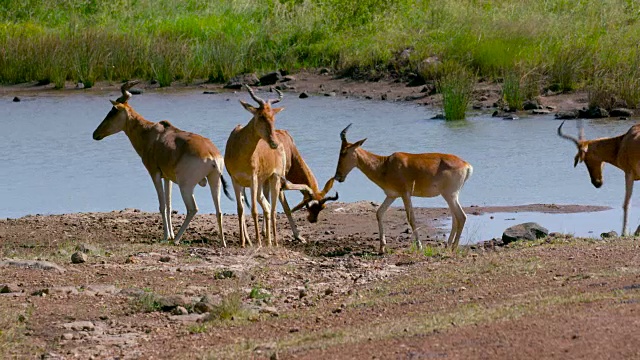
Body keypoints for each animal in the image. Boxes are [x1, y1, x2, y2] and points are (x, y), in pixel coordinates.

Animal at [90, 80, 230, 246]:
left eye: (113, 111)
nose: (95, 134)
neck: (152, 133)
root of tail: (212, 154)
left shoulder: (155, 173)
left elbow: (162, 205)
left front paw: (166, 236)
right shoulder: (167, 178)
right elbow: (169, 205)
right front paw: (169, 234)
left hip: (186, 185)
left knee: (193, 209)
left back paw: (176, 239)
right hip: (214, 181)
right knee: (219, 210)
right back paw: (222, 242)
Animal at [222, 85, 288, 248]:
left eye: (273, 116)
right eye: (261, 116)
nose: (274, 143)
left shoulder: (253, 179)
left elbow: (254, 210)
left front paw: (257, 241)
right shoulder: (235, 180)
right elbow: (240, 209)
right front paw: (243, 242)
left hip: (274, 179)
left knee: (273, 209)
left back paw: (274, 242)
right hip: (262, 184)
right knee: (267, 206)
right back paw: (268, 241)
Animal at [332, 124, 472, 253]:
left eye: (343, 152)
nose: (338, 176)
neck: (386, 164)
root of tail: (466, 165)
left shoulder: (405, 194)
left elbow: (411, 218)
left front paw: (419, 246)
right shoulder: (392, 195)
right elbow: (379, 213)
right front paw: (382, 247)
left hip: (450, 195)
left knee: (461, 217)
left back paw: (453, 247)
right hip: (450, 196)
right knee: (455, 218)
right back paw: (447, 246)